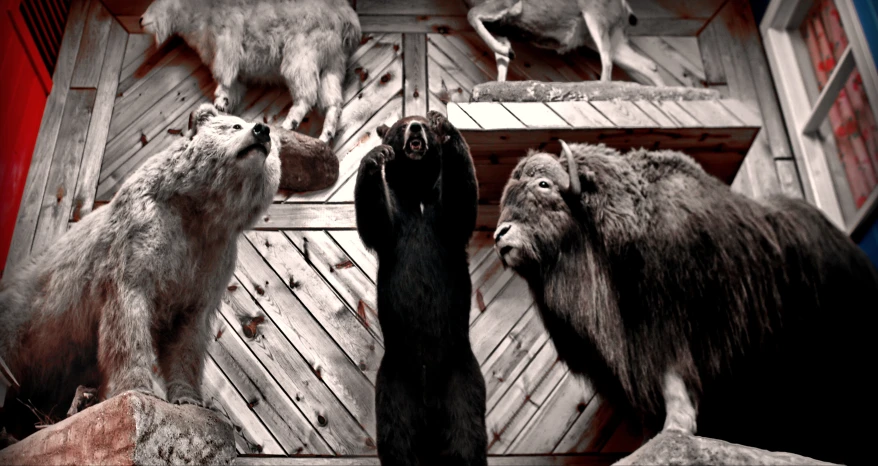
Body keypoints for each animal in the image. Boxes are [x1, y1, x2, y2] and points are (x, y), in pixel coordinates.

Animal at [141, 0, 360, 142]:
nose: (140, 20)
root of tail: (346, 20)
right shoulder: (237, 73)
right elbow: (232, 88)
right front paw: (223, 105)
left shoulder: (227, 42)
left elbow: (224, 75)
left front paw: (220, 100)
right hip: (332, 64)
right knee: (333, 101)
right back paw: (326, 135)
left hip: (301, 54)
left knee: (307, 95)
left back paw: (290, 123)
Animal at [356, 110, 488, 466]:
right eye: (401, 126)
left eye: (423, 125)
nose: (415, 127)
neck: (416, 192)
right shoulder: (395, 224)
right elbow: (375, 222)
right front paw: (374, 157)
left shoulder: (442, 219)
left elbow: (461, 202)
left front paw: (446, 125)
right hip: (394, 383)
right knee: (398, 440)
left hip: (461, 375)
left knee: (467, 435)